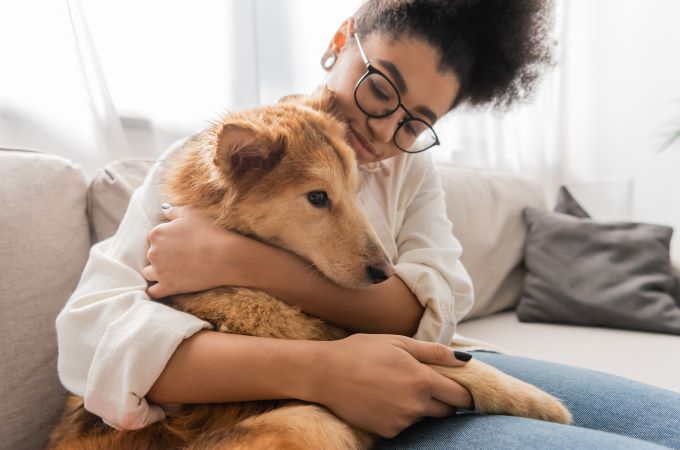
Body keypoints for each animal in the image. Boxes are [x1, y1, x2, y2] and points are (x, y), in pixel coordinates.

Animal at [45, 89, 572, 450]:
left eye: (355, 191)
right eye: (317, 197)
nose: (385, 272)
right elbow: (454, 366)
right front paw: (544, 403)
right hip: (306, 420)